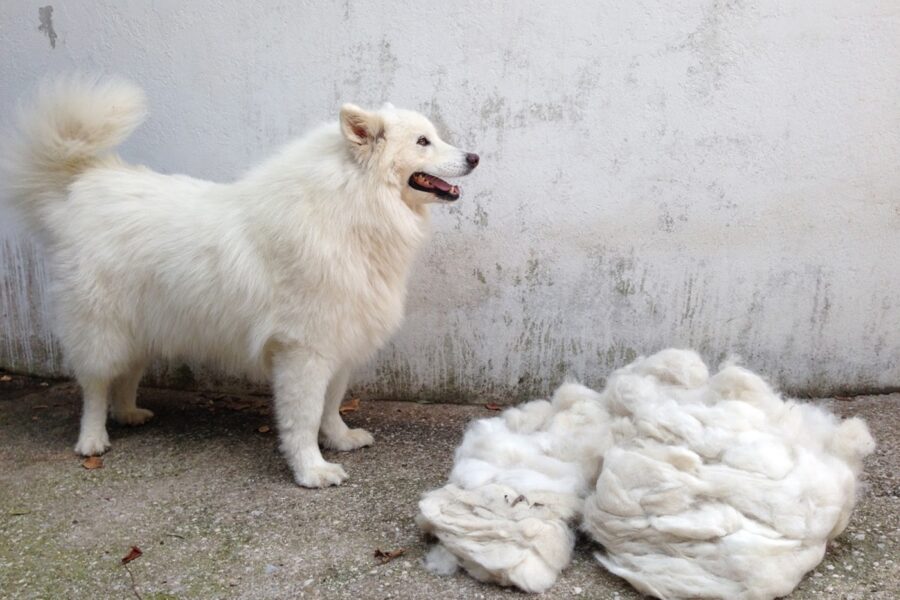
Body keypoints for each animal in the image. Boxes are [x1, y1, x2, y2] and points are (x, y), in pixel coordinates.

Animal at [3, 75, 482, 488]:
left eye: (434, 136)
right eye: (423, 142)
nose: (475, 157)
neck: (351, 207)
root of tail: (83, 183)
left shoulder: (340, 342)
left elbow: (331, 405)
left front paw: (340, 439)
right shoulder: (303, 351)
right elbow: (304, 416)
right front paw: (311, 471)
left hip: (145, 325)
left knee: (126, 376)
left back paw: (129, 413)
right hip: (102, 328)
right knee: (95, 385)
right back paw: (92, 439)